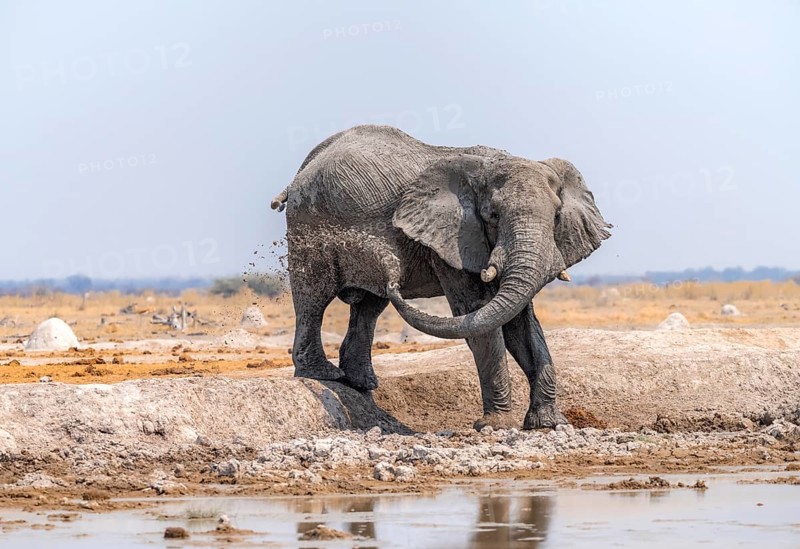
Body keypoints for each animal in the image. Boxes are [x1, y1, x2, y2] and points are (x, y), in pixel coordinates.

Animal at [272, 125, 611, 430]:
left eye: (556, 217)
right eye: (493, 216)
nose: (389, 258)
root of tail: (303, 169)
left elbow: (520, 323)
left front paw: (549, 424)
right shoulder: (454, 238)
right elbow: (477, 314)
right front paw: (496, 426)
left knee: (369, 305)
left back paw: (360, 383)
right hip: (308, 220)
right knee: (314, 297)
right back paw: (323, 375)